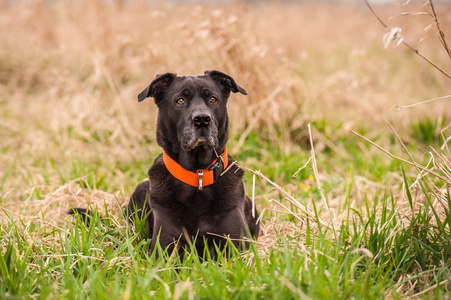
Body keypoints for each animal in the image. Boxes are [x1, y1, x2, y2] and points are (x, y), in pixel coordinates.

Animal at [71, 71, 262, 258]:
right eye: (180, 100)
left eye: (213, 99)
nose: (202, 119)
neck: (197, 176)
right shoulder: (164, 248)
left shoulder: (237, 247)